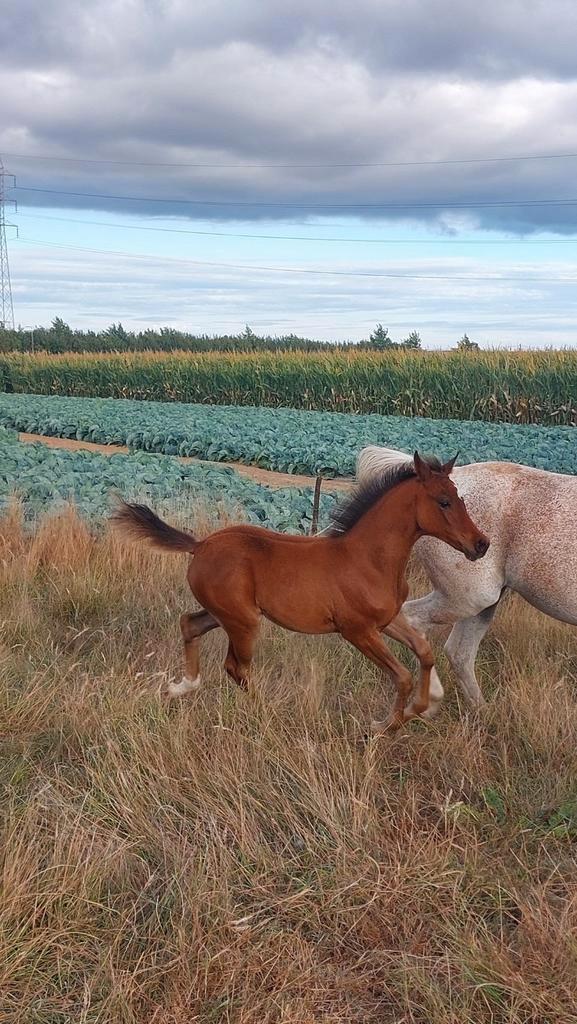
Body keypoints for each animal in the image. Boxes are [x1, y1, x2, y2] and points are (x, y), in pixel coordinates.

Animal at [112, 452, 489, 734]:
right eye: (443, 502)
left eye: (461, 498)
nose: (481, 544)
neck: (368, 558)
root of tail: (200, 544)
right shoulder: (357, 631)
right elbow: (403, 675)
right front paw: (385, 724)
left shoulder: (387, 620)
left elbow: (424, 652)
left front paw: (420, 709)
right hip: (243, 622)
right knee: (236, 667)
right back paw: (265, 713)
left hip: (225, 614)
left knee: (190, 624)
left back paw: (182, 687)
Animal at [357, 444, 577, 715]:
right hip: (471, 597)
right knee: (415, 620)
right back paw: (430, 702)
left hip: (483, 603)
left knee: (459, 653)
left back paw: (482, 712)